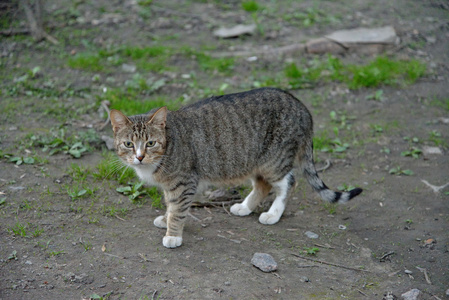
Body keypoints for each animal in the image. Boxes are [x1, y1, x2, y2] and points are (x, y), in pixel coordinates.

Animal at [110, 86, 362, 248]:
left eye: (151, 143)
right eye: (129, 144)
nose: (140, 157)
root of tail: (300, 105)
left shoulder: (184, 182)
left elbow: (178, 210)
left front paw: (173, 235)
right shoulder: (172, 186)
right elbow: (171, 206)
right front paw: (166, 219)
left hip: (274, 160)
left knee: (288, 182)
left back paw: (273, 214)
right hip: (254, 161)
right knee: (262, 185)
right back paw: (245, 207)